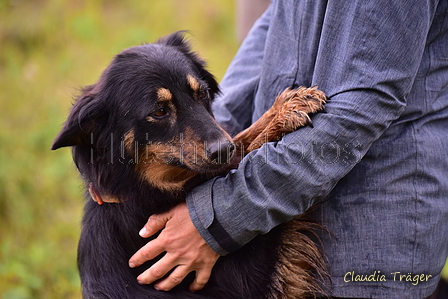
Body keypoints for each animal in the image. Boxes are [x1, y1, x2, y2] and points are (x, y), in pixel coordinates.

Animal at [51, 31, 326, 298]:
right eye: (159, 111)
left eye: (201, 93)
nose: (222, 150)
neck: (137, 193)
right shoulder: (258, 278)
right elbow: (249, 149)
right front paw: (283, 114)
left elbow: (243, 140)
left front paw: (283, 108)